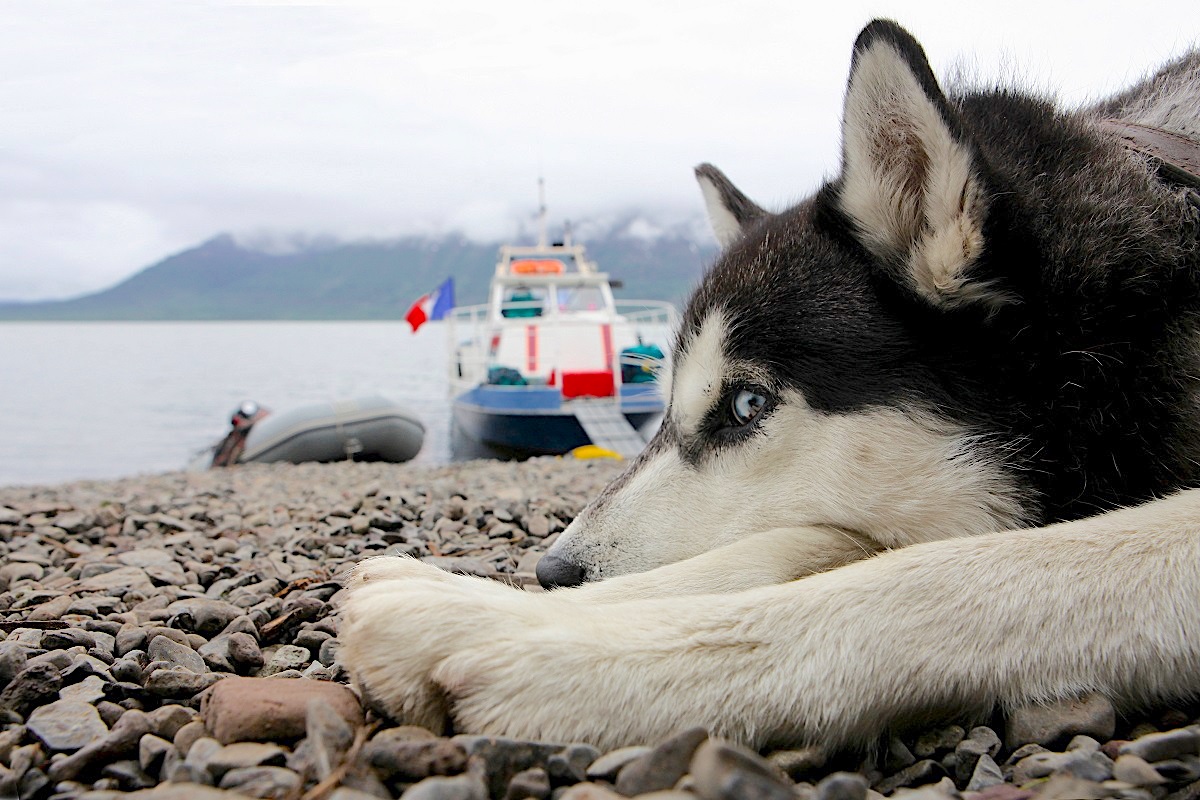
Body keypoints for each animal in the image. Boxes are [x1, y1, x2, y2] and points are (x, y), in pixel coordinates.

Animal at [340, 21, 1200, 753]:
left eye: (746, 405)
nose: (552, 572)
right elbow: (816, 544)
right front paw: (486, 606)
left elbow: (944, 577)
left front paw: (528, 640)